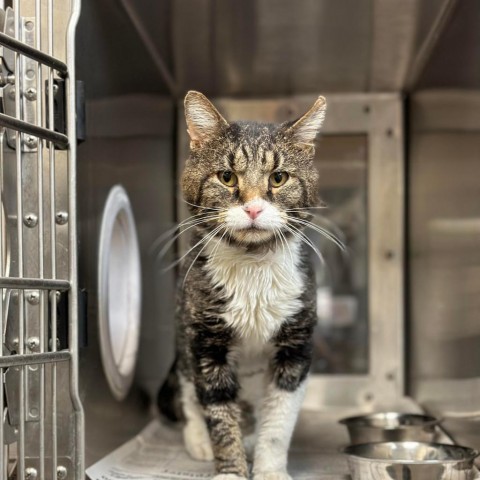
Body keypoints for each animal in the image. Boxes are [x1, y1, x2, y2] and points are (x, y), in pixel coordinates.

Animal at [158, 91, 326, 480]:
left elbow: (279, 421)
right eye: (227, 177)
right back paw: (199, 439)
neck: (253, 267)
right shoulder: (205, 343)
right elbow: (219, 414)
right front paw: (230, 469)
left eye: (278, 178)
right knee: (189, 394)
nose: (252, 209)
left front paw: (269, 469)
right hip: (183, 337)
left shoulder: (296, 347)